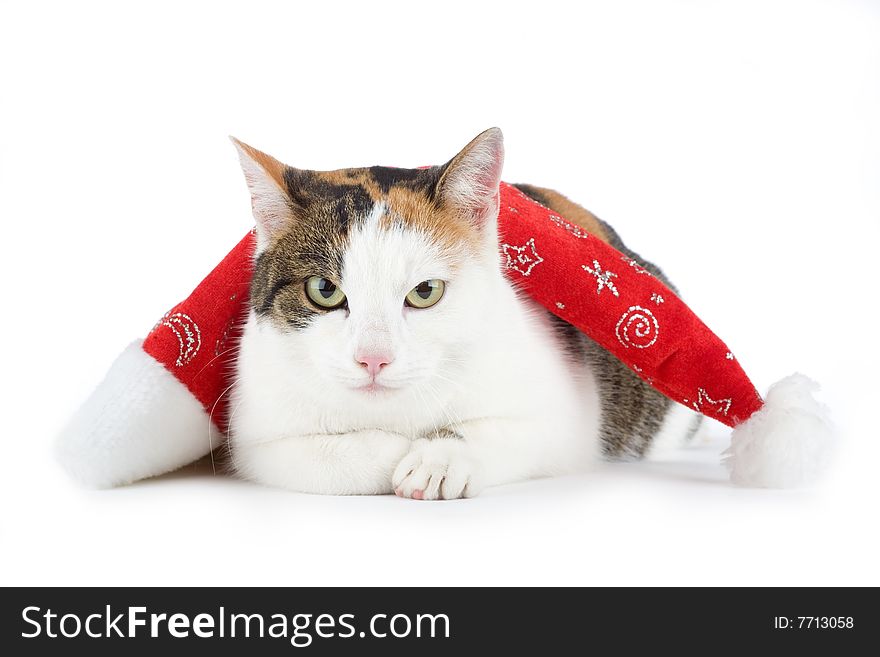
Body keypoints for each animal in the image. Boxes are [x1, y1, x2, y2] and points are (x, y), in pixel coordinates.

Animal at [229, 128, 700, 498]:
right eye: (324, 291)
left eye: (425, 292)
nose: (374, 359)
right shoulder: (255, 433)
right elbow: (314, 457)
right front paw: (390, 449)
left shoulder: (566, 416)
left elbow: (513, 430)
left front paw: (440, 456)